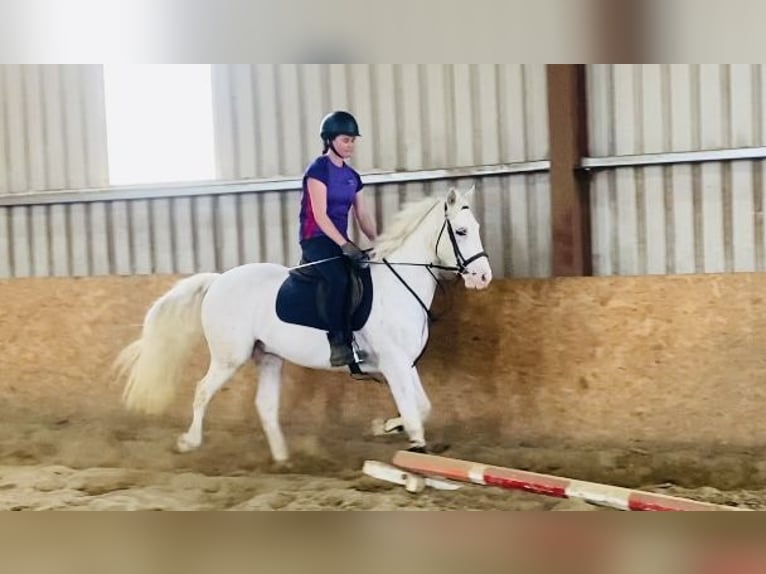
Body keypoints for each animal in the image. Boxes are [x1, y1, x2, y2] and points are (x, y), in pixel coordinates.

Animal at [117, 187, 496, 466]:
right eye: (461, 231)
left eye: (478, 229)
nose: (483, 277)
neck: (398, 284)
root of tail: (218, 280)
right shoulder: (394, 365)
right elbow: (415, 414)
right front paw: (413, 444)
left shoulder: (405, 364)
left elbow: (422, 407)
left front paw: (387, 425)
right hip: (229, 357)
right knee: (201, 391)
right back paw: (189, 443)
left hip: (268, 357)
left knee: (265, 406)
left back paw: (283, 460)